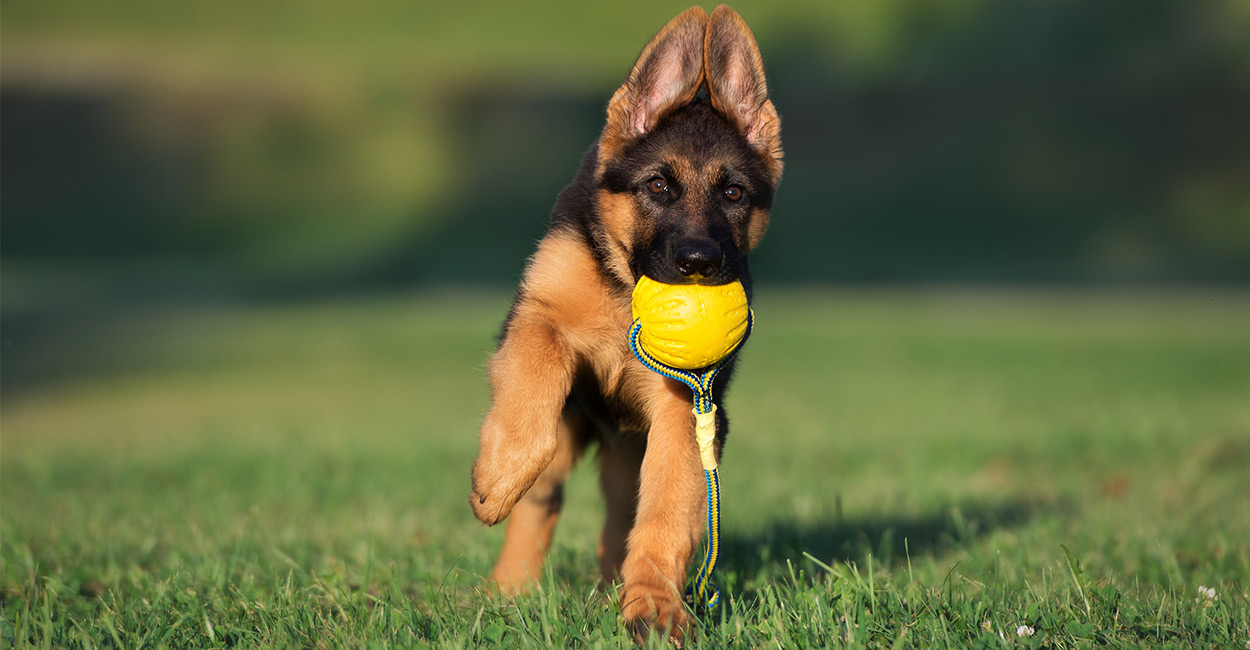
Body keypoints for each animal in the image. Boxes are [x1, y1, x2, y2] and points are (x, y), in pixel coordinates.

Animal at [470, 5, 780, 640]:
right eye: (657, 186)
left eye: (734, 193)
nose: (697, 262)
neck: (623, 292)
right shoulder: (537, 316)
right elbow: (537, 371)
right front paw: (500, 474)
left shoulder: (687, 409)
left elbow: (664, 515)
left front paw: (652, 609)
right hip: (570, 439)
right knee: (541, 503)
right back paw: (507, 588)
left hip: (631, 452)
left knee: (623, 517)